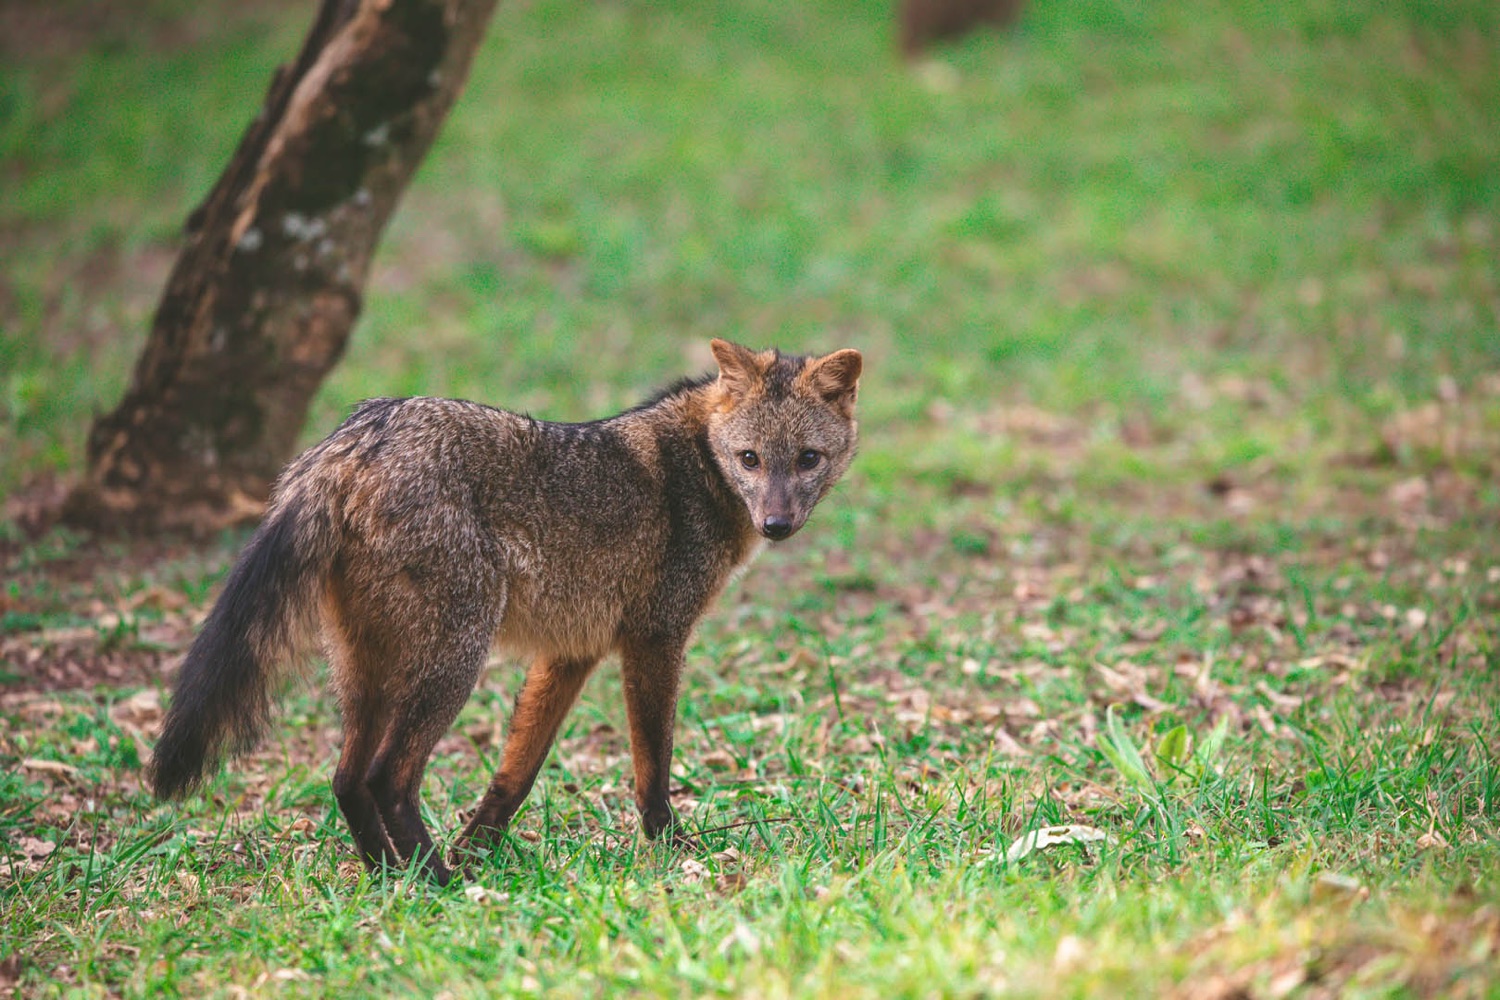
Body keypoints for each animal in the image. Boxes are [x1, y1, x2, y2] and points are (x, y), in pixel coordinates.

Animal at [146, 339, 861, 884]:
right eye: (750, 460)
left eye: (807, 459)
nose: (776, 525)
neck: (698, 465)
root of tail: (359, 434)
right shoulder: (655, 639)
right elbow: (652, 768)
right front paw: (670, 850)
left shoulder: (571, 654)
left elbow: (513, 776)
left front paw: (478, 848)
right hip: (454, 659)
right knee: (386, 777)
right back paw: (436, 881)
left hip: (370, 671)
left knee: (346, 780)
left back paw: (392, 877)